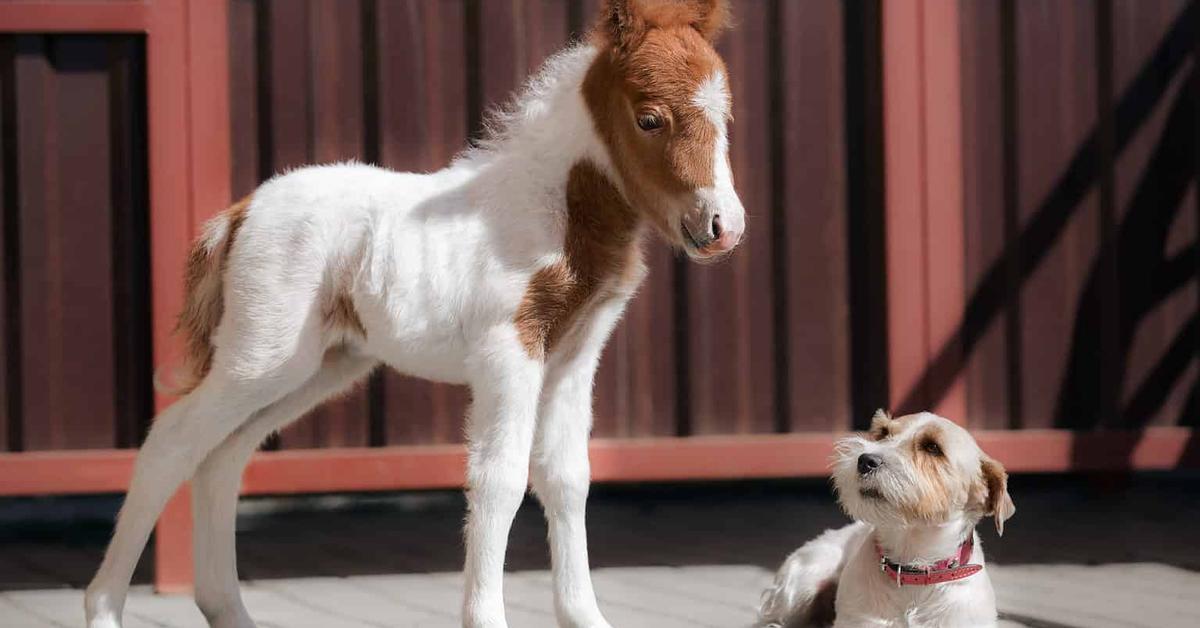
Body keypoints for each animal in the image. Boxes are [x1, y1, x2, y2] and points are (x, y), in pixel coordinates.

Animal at [87, 1, 739, 628]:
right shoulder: (508, 351)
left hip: (319, 366)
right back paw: (104, 610)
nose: (722, 227)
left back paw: (229, 611)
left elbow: (567, 477)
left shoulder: (574, 356)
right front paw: (486, 618)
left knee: (223, 455)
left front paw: (584, 616)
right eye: (649, 118)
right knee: (173, 441)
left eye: (726, 117)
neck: (553, 208)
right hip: (262, 355)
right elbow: (500, 477)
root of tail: (241, 211)